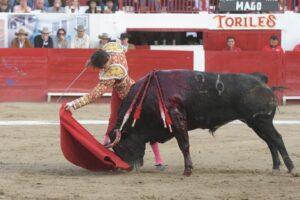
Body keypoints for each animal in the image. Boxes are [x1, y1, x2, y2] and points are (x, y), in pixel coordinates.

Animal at [108, 70, 298, 177]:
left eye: (121, 147)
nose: (129, 168)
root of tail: (261, 80)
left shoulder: (177, 119)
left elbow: (184, 145)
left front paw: (187, 170)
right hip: (255, 123)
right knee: (270, 142)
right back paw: (275, 168)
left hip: (262, 121)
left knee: (277, 139)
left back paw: (292, 169)